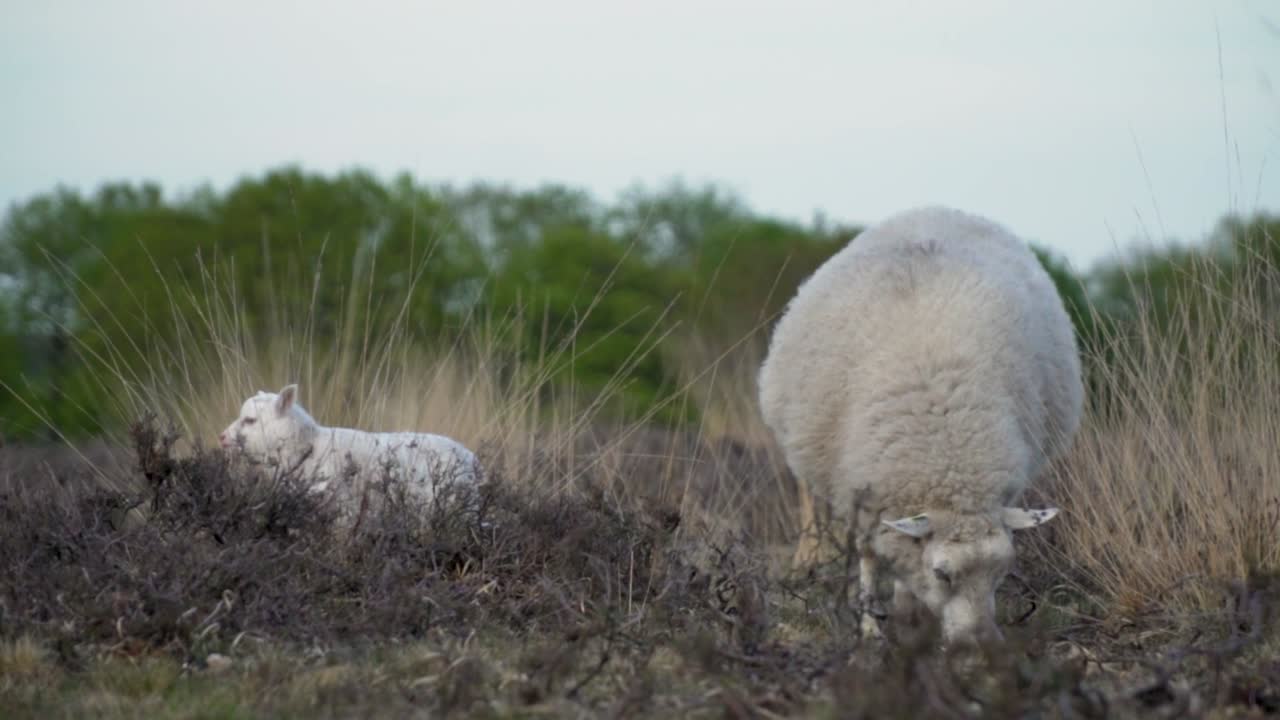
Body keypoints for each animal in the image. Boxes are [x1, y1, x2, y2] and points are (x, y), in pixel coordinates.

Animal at [757, 206, 1083, 647]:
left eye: (1001, 571)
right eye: (942, 573)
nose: (982, 644)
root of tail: (937, 210)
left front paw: (908, 617)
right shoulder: (862, 490)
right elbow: (869, 556)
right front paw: (870, 627)